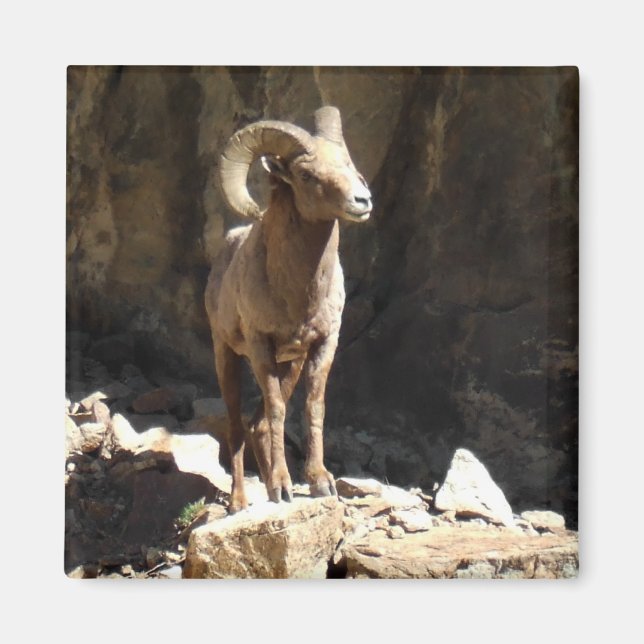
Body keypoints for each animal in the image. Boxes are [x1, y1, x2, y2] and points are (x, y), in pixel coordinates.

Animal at [205, 106, 372, 513]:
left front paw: (319, 482)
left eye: (347, 163)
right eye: (306, 175)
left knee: (259, 425)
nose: (362, 201)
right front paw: (282, 487)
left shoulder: (321, 345)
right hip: (227, 356)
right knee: (237, 425)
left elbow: (313, 407)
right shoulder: (260, 345)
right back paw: (240, 501)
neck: (297, 294)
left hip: (289, 365)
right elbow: (279, 409)